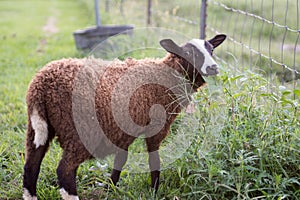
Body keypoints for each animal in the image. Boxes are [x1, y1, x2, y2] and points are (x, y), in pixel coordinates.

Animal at [22, 33, 225, 199]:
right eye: (189, 53)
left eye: (211, 50)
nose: (213, 68)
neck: (167, 75)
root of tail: (42, 84)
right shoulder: (157, 126)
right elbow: (154, 160)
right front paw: (154, 191)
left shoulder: (123, 130)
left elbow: (121, 159)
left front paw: (110, 187)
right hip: (80, 130)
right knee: (65, 170)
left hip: (38, 127)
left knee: (31, 165)